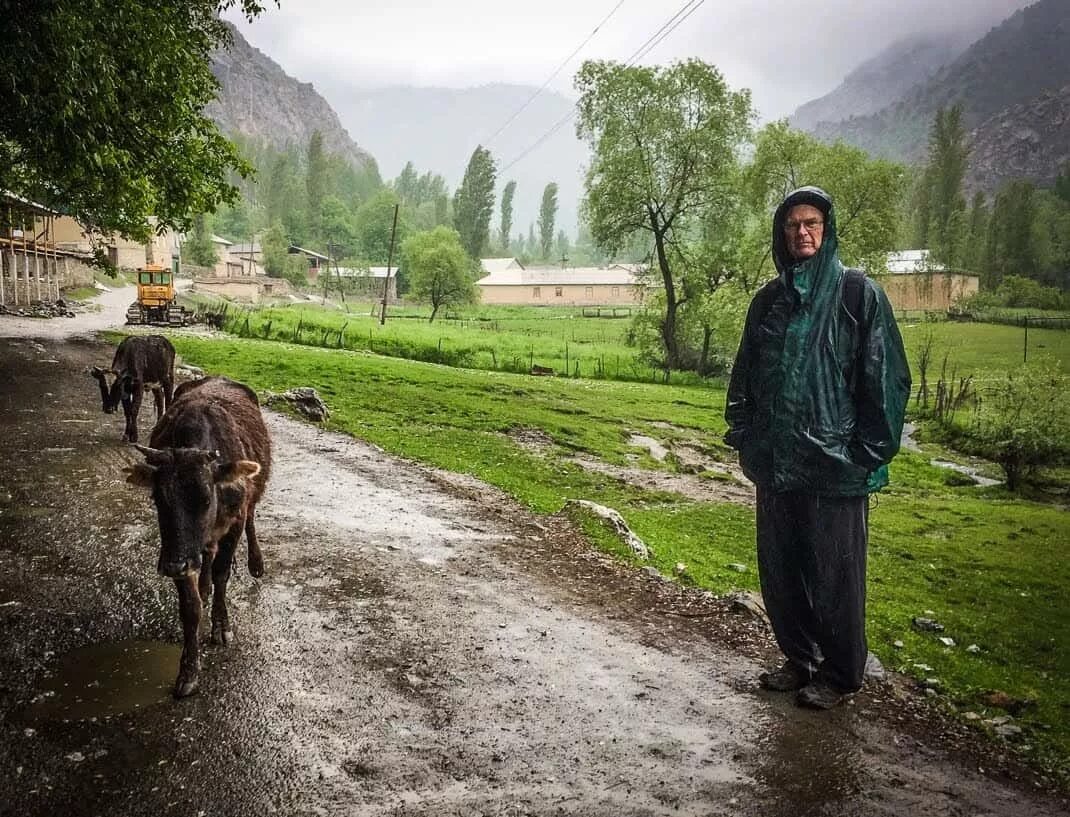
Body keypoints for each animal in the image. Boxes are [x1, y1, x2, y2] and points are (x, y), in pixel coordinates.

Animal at [124, 376, 271, 697]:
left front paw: (221, 626)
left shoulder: (233, 523)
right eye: (158, 500)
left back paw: (255, 563)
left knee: (250, 523)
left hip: (251, 500)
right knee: (207, 554)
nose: (173, 566)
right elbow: (190, 605)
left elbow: (222, 574)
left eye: (205, 499)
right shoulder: (176, 548)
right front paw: (188, 670)